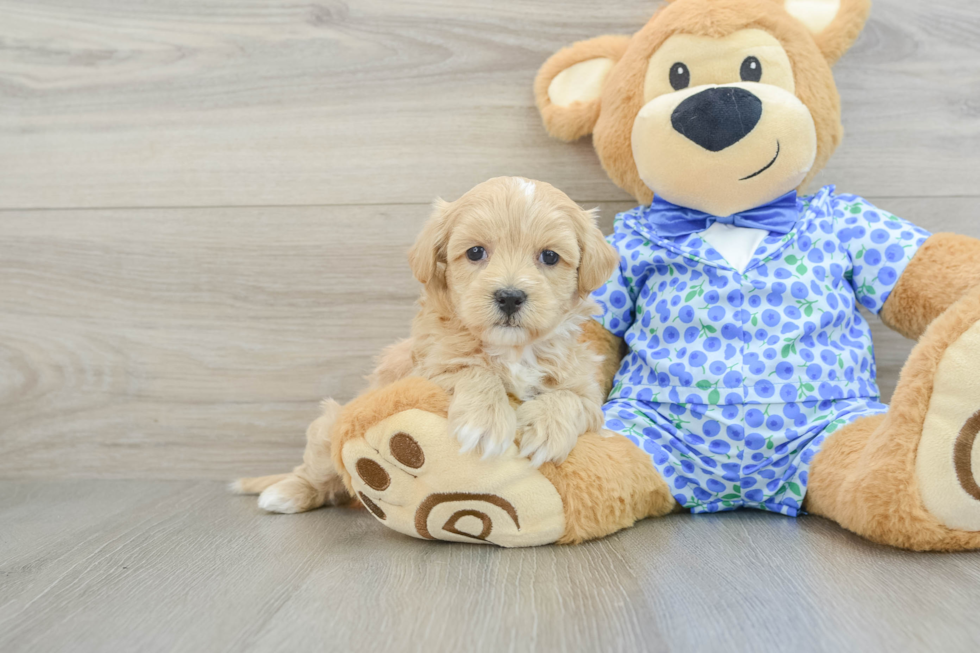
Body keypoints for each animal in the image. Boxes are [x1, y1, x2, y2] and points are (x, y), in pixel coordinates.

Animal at [234, 178, 616, 516]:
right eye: (475, 252)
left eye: (549, 257)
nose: (509, 296)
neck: (513, 350)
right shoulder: (424, 372)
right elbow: (470, 369)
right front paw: (484, 421)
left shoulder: (588, 394)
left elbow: (571, 399)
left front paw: (547, 431)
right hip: (329, 428)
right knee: (316, 471)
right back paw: (286, 493)